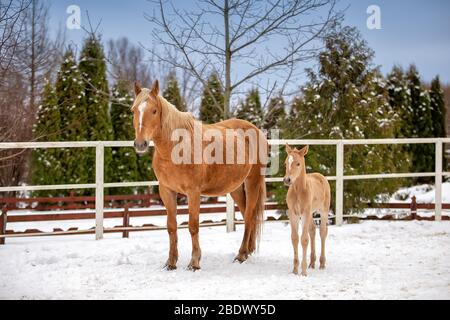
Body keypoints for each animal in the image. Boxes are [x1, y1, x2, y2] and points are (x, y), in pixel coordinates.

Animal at [133, 80, 268, 270]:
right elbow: (171, 226)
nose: (140, 144)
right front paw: (171, 262)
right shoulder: (166, 191)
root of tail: (256, 130)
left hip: (252, 183)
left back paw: (241, 254)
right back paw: (248, 250)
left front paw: (194, 262)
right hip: (235, 188)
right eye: (133, 110)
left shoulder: (194, 192)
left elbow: (193, 226)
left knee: (249, 216)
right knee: (247, 215)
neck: (175, 147)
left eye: (154, 110)